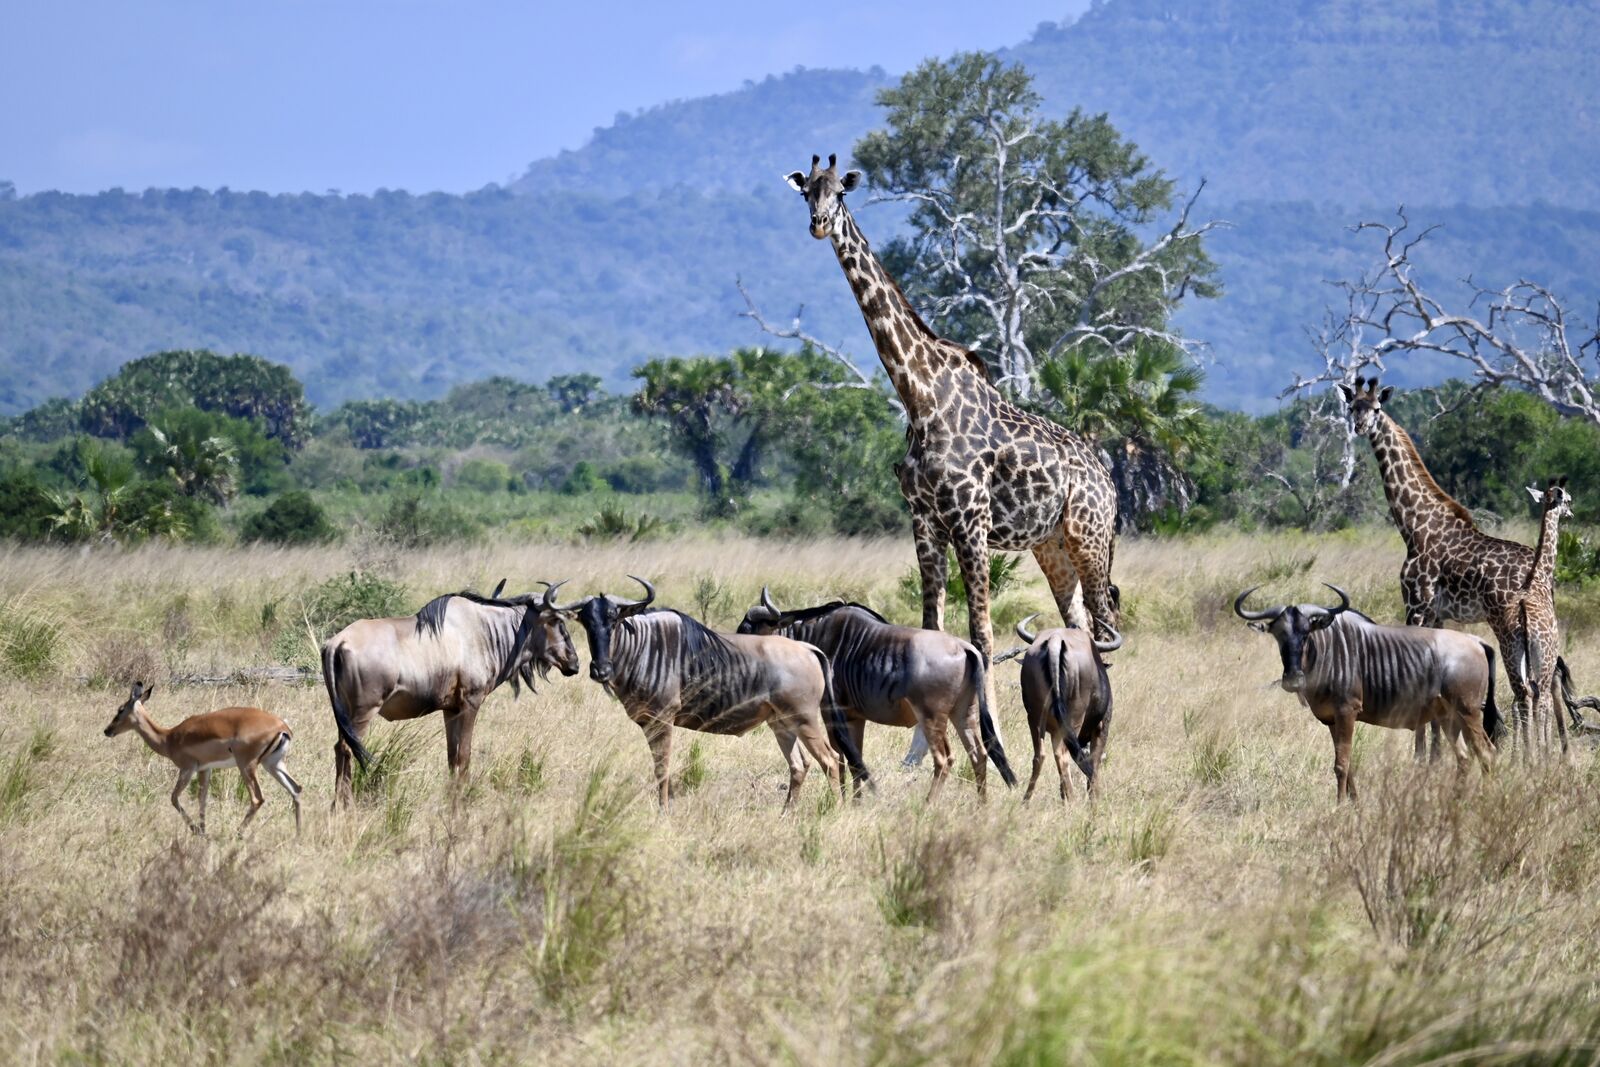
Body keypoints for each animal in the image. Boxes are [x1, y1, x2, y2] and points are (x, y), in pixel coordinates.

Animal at [780, 157, 1120, 675]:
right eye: (806, 193)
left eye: (840, 193)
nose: (818, 224)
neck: (920, 397)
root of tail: (1110, 482)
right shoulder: (923, 521)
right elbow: (932, 627)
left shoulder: (970, 521)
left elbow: (982, 634)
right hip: (1051, 544)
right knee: (1081, 624)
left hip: (1089, 536)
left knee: (1106, 629)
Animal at [1337, 379, 1574, 755]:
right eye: (1352, 407)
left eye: (1376, 408)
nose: (1360, 427)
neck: (1414, 525)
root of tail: (1542, 570)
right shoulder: (1437, 613)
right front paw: (1436, 754)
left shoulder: (1416, 604)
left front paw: (1420, 757)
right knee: (1548, 681)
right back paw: (1551, 752)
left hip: (1510, 630)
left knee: (1532, 687)